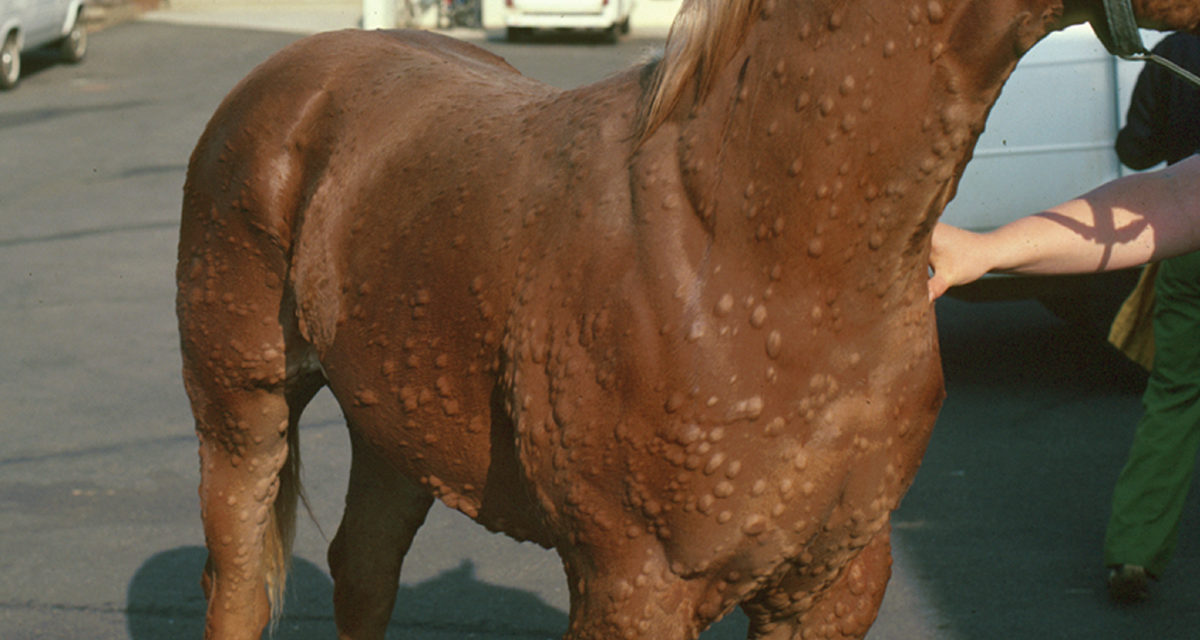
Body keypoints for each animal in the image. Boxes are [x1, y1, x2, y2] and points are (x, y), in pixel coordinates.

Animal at [176, 1, 1200, 638]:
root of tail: (291, 82)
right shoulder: (635, 588)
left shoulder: (831, 585)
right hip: (241, 417)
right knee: (236, 584)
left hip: (394, 425)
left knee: (364, 571)